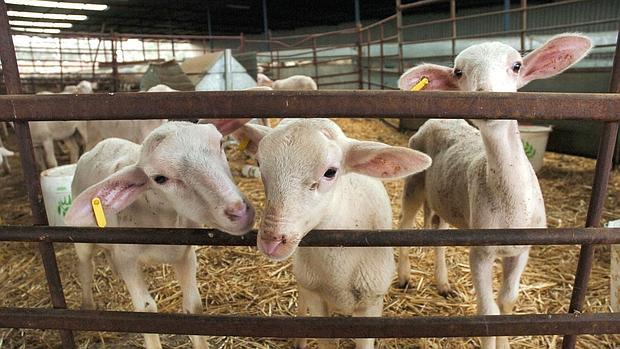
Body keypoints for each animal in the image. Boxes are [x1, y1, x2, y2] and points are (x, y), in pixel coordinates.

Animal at [65, 120, 254, 348]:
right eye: (160, 178)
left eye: (220, 143)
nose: (238, 211)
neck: (162, 216)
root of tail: (99, 146)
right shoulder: (128, 259)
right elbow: (146, 310)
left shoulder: (185, 255)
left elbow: (193, 305)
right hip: (83, 241)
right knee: (86, 267)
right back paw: (88, 305)